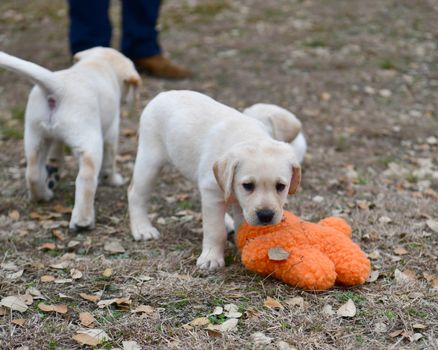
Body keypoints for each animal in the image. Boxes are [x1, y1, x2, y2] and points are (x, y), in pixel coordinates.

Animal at [0, 47, 140, 231]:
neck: (97, 64)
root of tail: (59, 86)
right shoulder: (112, 129)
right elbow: (110, 160)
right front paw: (113, 180)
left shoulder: (54, 138)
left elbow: (56, 153)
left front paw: (55, 167)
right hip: (89, 142)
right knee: (86, 179)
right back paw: (83, 221)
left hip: (35, 136)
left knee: (33, 173)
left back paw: (43, 195)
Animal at [128, 91, 302, 270]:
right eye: (248, 186)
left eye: (281, 186)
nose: (266, 215)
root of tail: (164, 93)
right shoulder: (212, 194)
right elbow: (216, 231)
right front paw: (211, 258)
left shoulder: (236, 203)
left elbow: (241, 227)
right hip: (149, 162)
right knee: (135, 194)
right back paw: (142, 228)